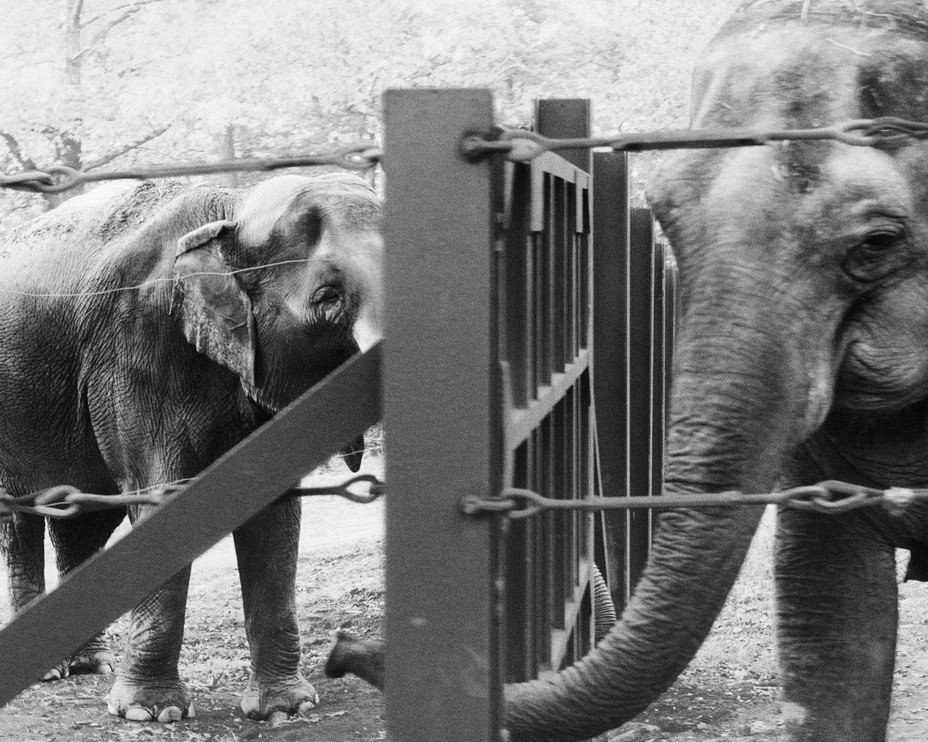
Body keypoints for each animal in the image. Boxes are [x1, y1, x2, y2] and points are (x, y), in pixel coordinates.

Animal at [0, 171, 384, 724]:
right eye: (328, 298)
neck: (235, 210)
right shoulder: (136, 347)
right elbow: (160, 494)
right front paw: (149, 714)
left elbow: (274, 506)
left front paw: (285, 708)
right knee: (23, 516)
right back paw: (51, 670)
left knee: (85, 517)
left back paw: (88, 663)